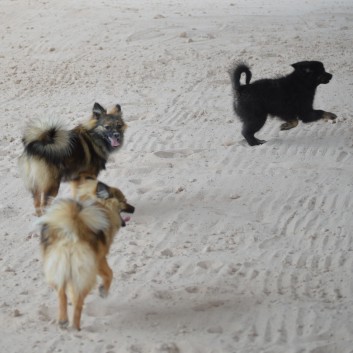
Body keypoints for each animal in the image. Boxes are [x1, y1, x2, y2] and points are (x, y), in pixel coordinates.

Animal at [36, 179, 133, 330]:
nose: (133, 208)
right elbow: (109, 273)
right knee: (79, 302)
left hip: (60, 267)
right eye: (124, 200)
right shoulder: (100, 259)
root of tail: (71, 235)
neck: (101, 206)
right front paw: (103, 291)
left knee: (61, 293)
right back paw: (75, 326)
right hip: (85, 273)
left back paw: (63, 320)